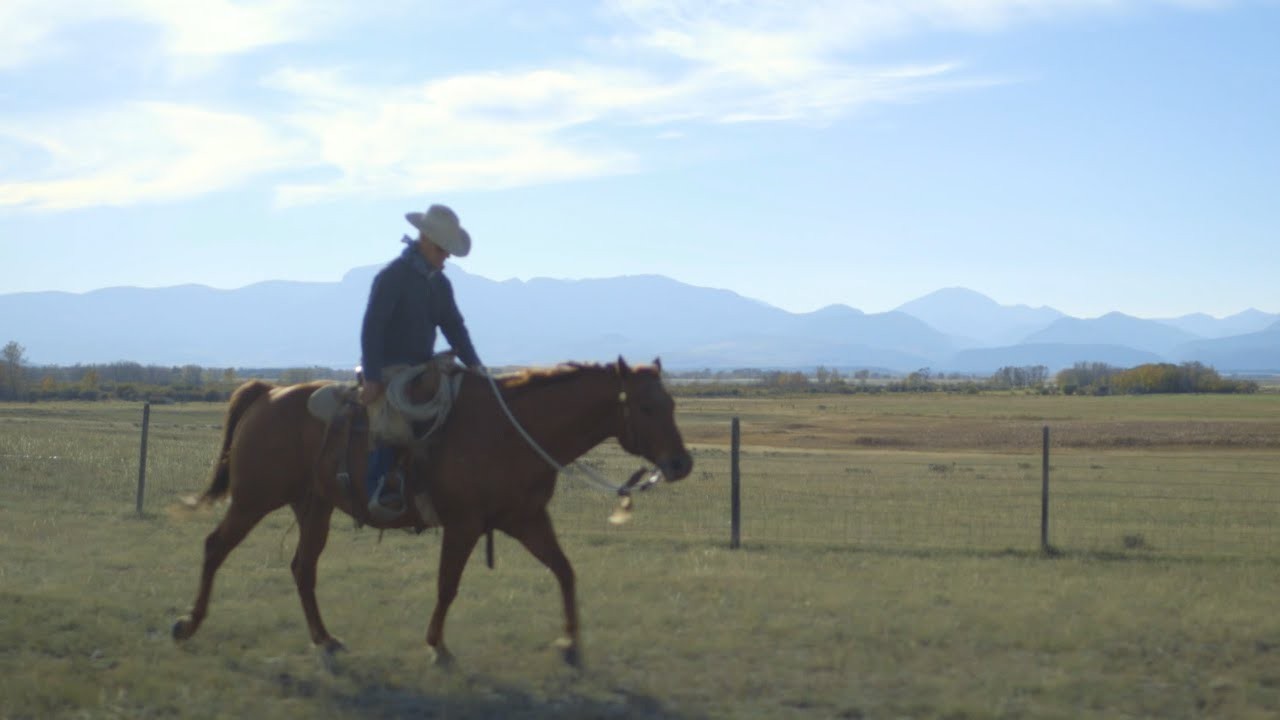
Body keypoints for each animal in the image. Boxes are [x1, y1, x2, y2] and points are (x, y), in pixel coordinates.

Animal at [172, 356, 691, 666]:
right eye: (646, 407)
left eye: (671, 402)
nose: (681, 463)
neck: (513, 431)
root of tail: (267, 393)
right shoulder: (464, 525)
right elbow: (447, 585)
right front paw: (437, 645)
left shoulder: (526, 520)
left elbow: (565, 571)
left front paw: (570, 642)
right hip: (254, 499)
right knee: (215, 547)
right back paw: (188, 624)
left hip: (313, 506)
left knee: (303, 567)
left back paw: (325, 638)